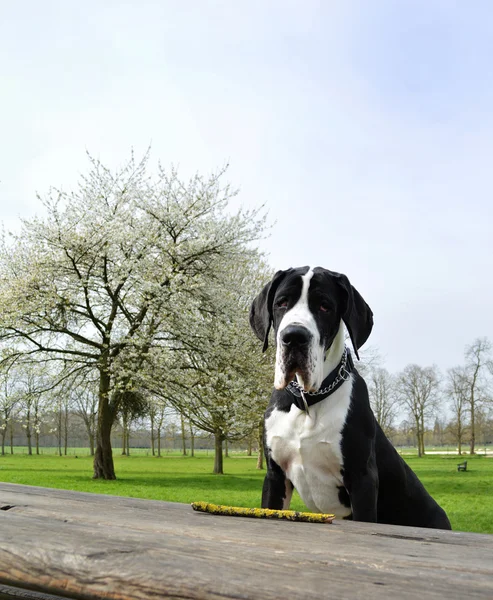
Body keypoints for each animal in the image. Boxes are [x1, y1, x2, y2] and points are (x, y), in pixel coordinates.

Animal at [250, 268, 450, 528]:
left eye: (325, 306)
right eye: (281, 302)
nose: (294, 336)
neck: (307, 403)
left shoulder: (362, 480)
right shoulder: (275, 477)